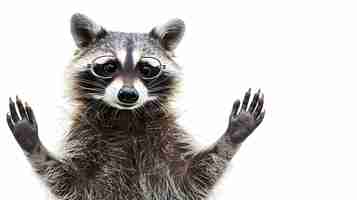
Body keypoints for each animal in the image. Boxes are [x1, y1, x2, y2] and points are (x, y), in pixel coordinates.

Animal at [6, 13, 264, 199]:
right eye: (109, 67)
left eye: (147, 69)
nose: (128, 94)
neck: (126, 116)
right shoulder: (83, 137)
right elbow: (69, 180)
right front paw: (33, 144)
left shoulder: (168, 140)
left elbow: (192, 176)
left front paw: (233, 135)